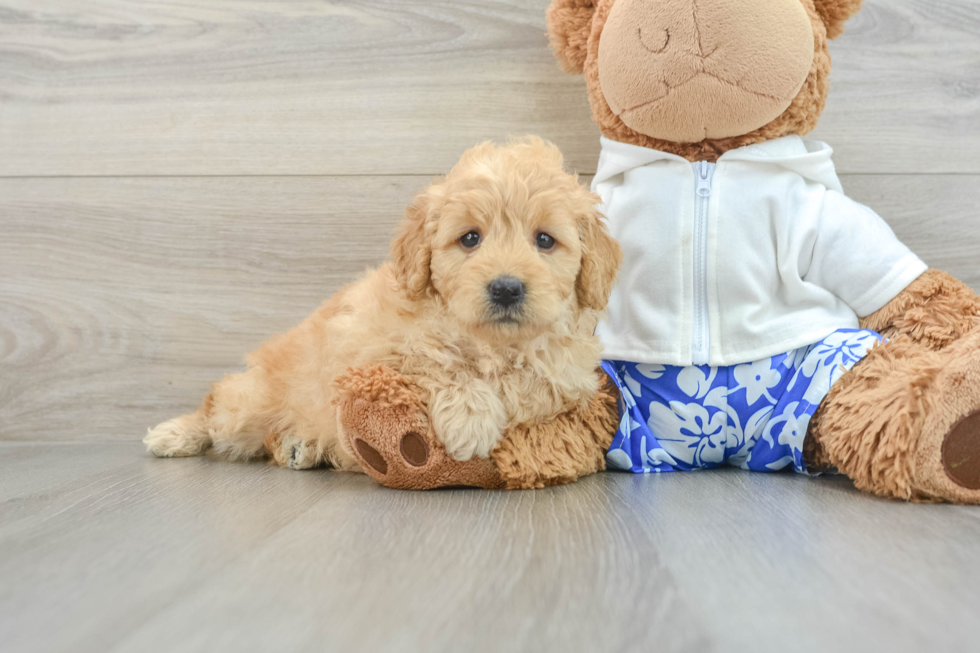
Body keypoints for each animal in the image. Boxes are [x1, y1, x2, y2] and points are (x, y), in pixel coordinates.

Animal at [144, 140, 620, 472]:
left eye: (545, 240)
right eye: (470, 238)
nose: (506, 289)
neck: (493, 341)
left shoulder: (565, 377)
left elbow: (529, 385)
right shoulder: (368, 352)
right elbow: (435, 361)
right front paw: (470, 419)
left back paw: (301, 445)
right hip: (248, 405)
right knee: (217, 406)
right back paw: (174, 434)